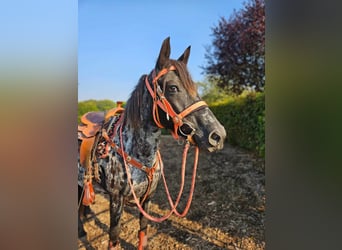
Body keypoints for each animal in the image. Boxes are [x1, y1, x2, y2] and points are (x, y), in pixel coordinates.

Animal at [78, 36, 227, 249]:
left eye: (196, 89)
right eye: (173, 88)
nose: (218, 135)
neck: (139, 154)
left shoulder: (147, 198)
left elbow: (143, 230)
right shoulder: (116, 200)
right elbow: (114, 237)